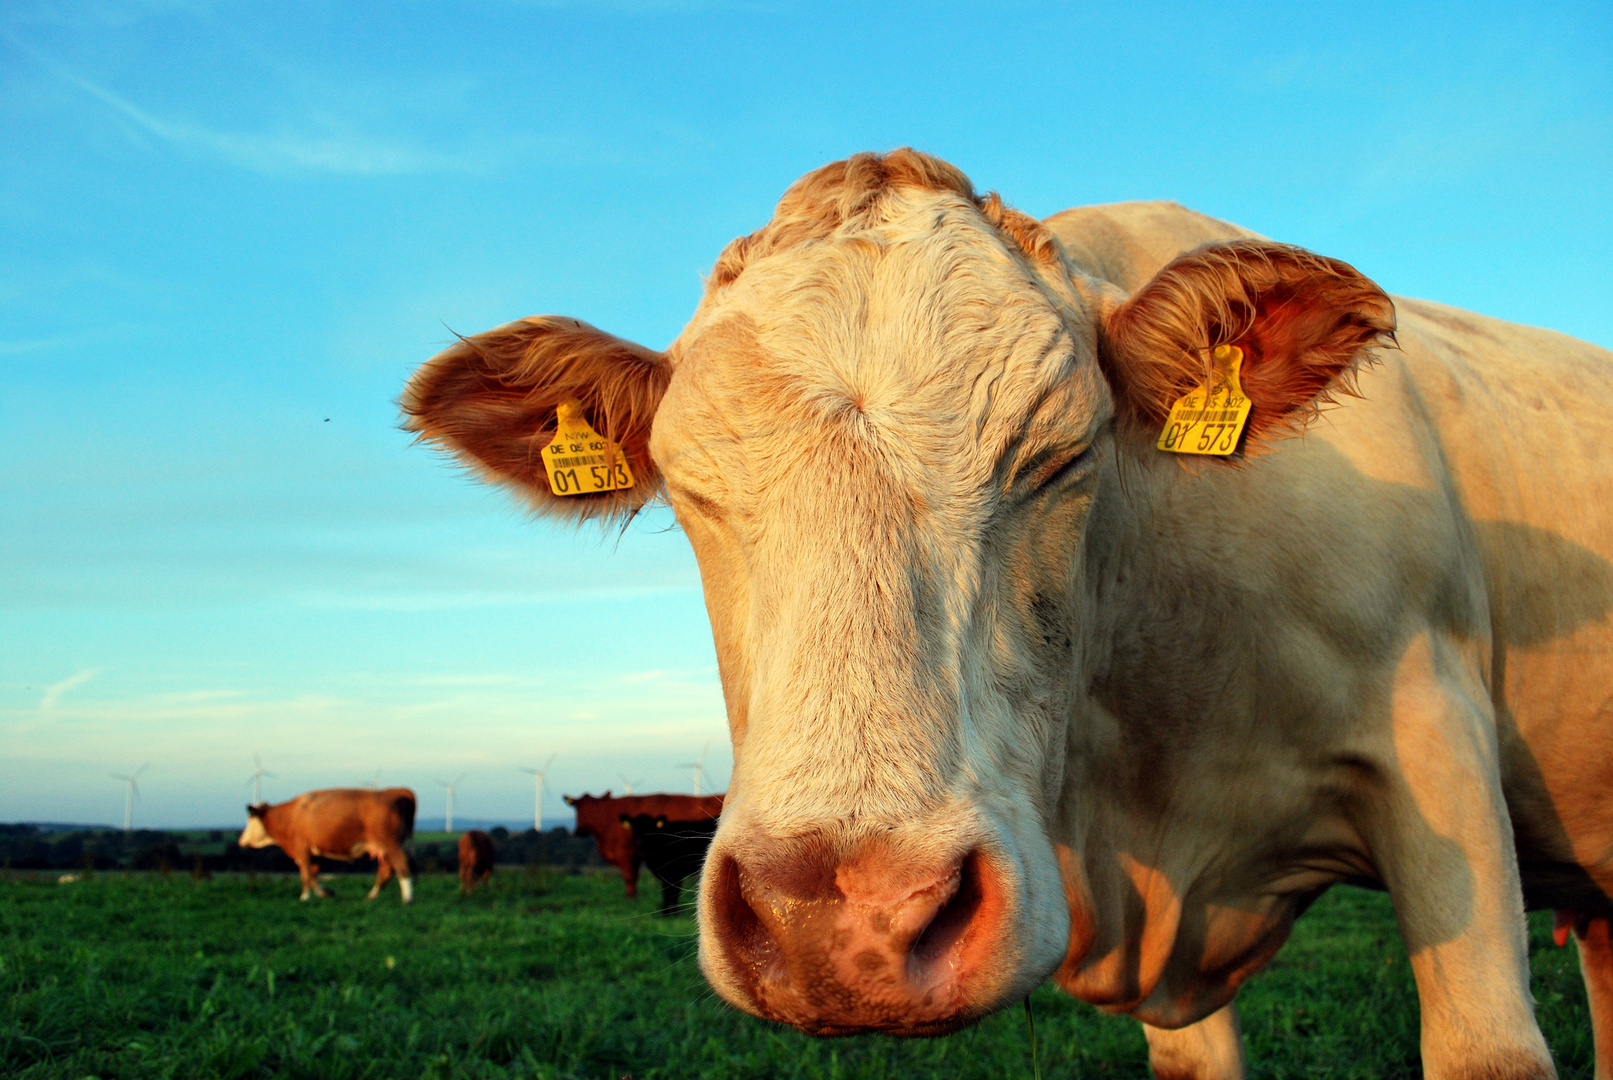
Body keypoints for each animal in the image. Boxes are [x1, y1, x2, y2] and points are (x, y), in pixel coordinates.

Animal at [240, 786, 419, 902]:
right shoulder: (316, 853)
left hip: (391, 845)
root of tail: (396, 791)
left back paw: (407, 898)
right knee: (387, 872)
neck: (291, 814)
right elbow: (311, 874)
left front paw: (319, 894)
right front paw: (307, 896)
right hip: (386, 849)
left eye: (250, 819)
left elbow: (307, 874)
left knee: (402, 866)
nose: (241, 841)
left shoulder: (302, 848)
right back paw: (371, 897)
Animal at [561, 789, 725, 902]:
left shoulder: (627, 853)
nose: (578, 831)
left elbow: (630, 876)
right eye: (577, 807)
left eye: (589, 809)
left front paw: (631, 897)